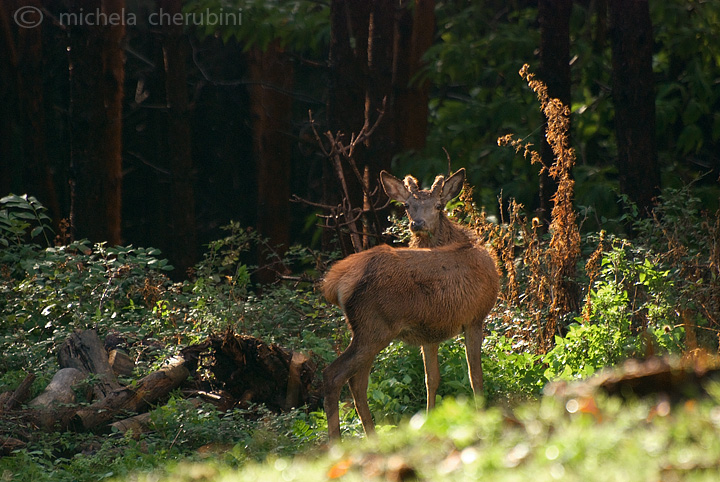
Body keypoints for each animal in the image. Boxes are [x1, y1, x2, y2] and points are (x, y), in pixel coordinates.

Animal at [322, 169, 498, 440]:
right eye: (406, 206)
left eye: (439, 206)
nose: (417, 224)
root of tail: (334, 283)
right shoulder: (474, 317)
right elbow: (475, 375)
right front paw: (481, 420)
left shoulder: (430, 332)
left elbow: (432, 378)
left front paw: (430, 422)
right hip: (375, 327)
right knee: (334, 375)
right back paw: (336, 442)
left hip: (365, 330)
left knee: (357, 382)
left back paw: (371, 436)